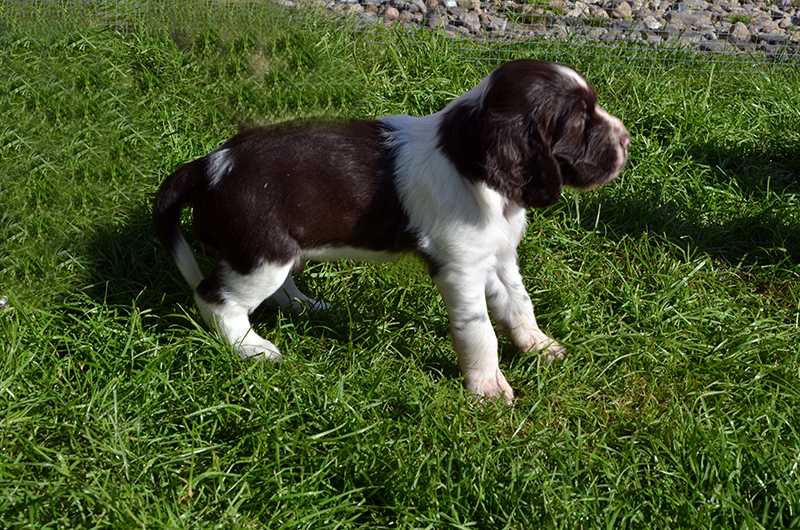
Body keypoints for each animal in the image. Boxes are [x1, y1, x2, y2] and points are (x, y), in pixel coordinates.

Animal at [153, 59, 628, 402]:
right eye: (581, 124)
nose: (626, 141)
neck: (472, 167)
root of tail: (209, 164)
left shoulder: (497, 257)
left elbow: (519, 305)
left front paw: (540, 347)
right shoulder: (459, 269)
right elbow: (479, 331)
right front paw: (488, 388)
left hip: (282, 248)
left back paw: (307, 308)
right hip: (261, 253)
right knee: (215, 298)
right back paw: (252, 348)